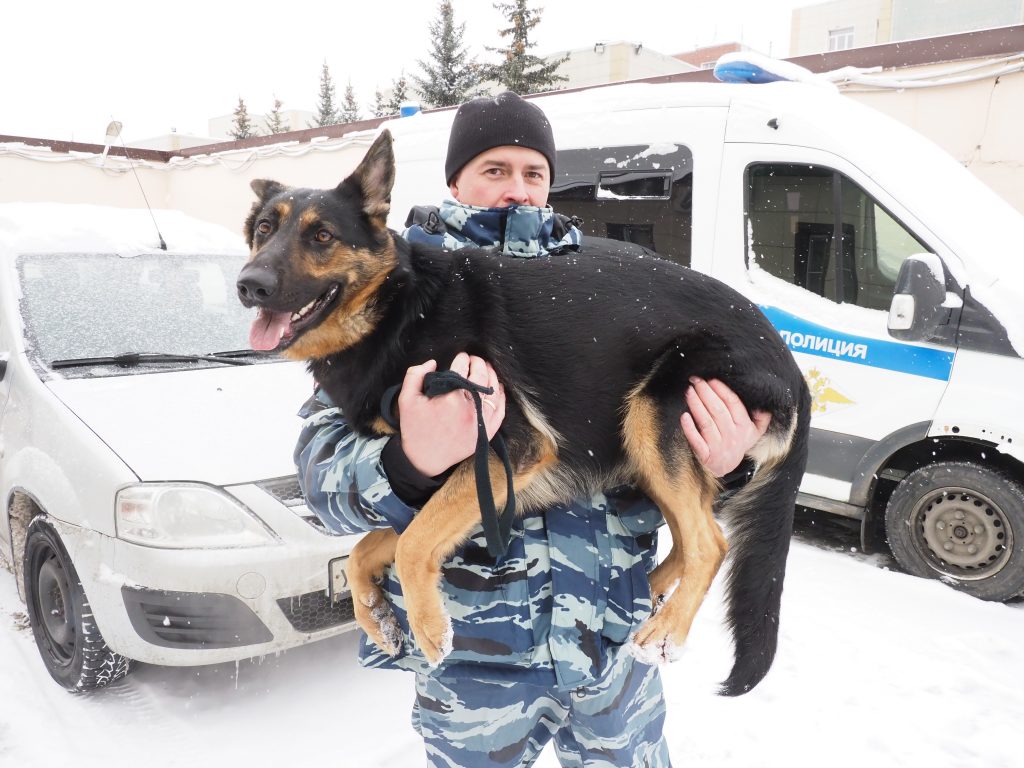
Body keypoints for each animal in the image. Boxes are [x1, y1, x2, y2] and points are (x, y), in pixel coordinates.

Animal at [237, 131, 806, 696]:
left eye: (322, 235)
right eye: (264, 229)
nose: (249, 284)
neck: (400, 311)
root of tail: (790, 363)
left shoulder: (507, 449)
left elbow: (412, 543)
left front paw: (430, 626)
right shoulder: (463, 477)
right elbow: (369, 547)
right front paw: (377, 614)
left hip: (653, 414)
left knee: (710, 543)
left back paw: (665, 631)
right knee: (690, 540)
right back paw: (649, 595)